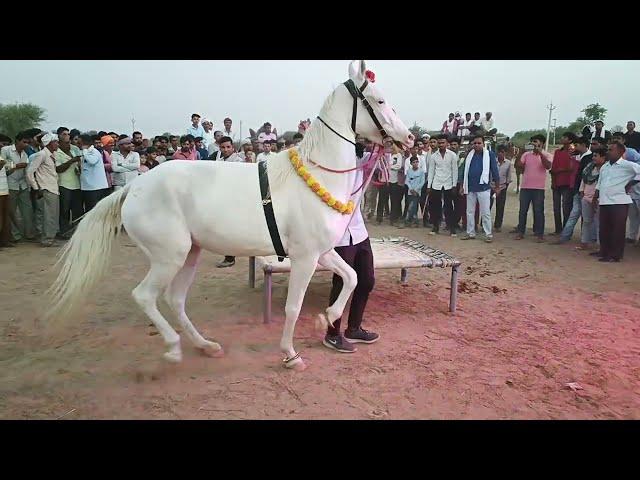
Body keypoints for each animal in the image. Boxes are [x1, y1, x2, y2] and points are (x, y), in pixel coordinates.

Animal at [46, 61, 416, 372]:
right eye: (380, 101)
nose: (409, 137)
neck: (313, 175)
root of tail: (134, 187)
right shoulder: (305, 257)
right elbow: (293, 307)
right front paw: (290, 354)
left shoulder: (322, 253)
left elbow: (352, 277)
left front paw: (326, 318)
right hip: (169, 256)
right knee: (145, 296)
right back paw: (174, 348)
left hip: (189, 254)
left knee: (175, 299)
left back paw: (206, 345)